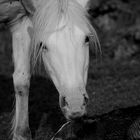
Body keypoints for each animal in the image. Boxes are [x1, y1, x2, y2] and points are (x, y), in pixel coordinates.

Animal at [0, 0, 100, 140]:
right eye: (43, 45)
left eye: (87, 39)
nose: (75, 104)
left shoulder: (20, 21)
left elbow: (22, 80)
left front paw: (21, 134)